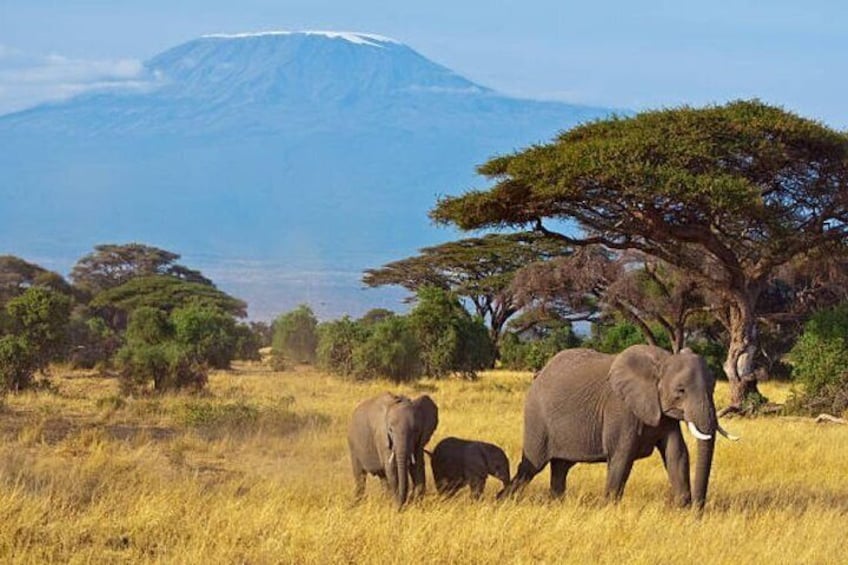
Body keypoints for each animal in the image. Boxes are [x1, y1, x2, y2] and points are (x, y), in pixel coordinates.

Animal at [500, 345, 737, 509]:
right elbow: (622, 456)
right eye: (681, 391)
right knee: (530, 467)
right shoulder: (620, 408)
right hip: (537, 419)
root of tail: (539, 374)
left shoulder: (662, 413)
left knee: (560, 468)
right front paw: (609, 509)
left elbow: (676, 454)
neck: (661, 361)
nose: (698, 509)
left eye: (713, 387)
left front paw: (682, 510)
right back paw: (502, 500)